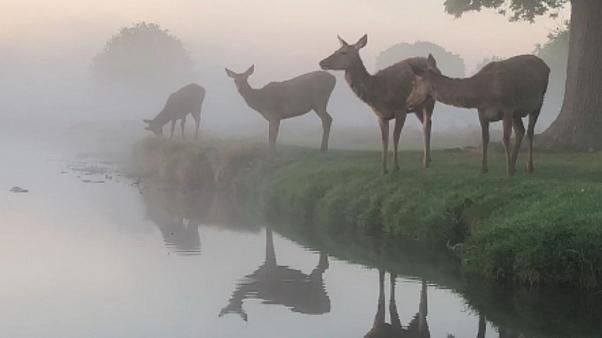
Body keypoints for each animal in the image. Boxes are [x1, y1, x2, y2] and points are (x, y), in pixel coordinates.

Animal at [316, 34, 438, 173]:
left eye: (343, 52)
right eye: (336, 50)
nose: (322, 62)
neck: (379, 92)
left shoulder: (401, 108)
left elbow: (395, 136)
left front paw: (396, 167)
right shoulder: (380, 115)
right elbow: (383, 140)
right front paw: (383, 170)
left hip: (430, 100)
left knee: (426, 125)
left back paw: (425, 162)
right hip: (417, 107)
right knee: (428, 123)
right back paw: (429, 159)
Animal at [408, 54, 548, 176]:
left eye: (414, 83)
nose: (408, 101)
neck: (483, 93)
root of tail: (547, 66)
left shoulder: (508, 107)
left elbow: (505, 139)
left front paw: (507, 171)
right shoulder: (482, 112)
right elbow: (485, 138)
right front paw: (484, 169)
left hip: (538, 101)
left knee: (530, 131)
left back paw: (528, 166)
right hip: (517, 112)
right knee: (520, 131)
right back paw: (514, 165)